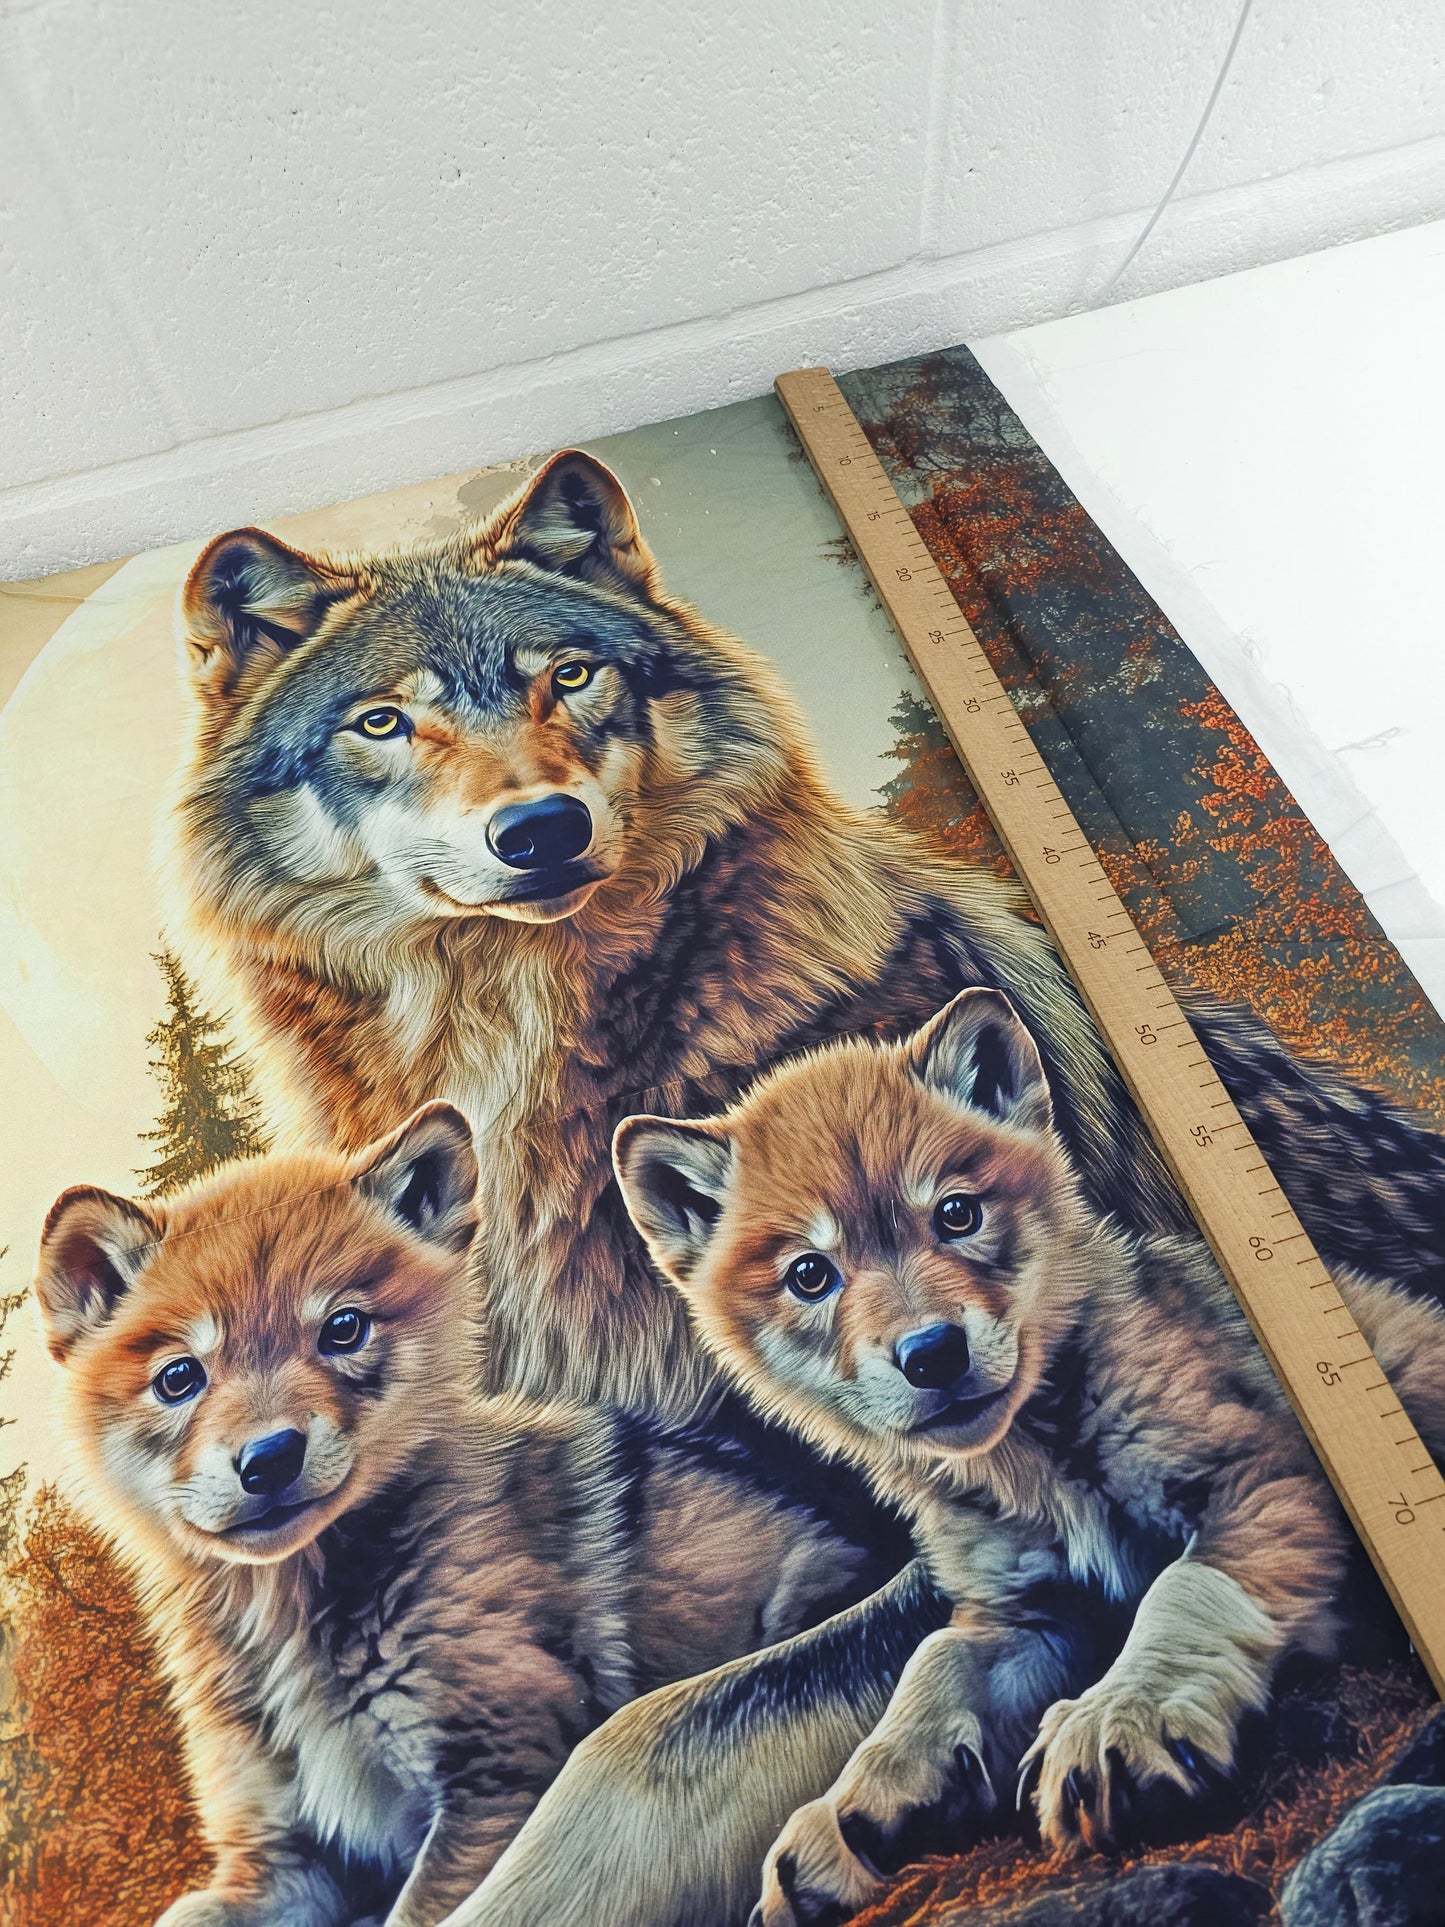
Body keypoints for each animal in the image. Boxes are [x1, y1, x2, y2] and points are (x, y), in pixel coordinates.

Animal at [32, 1106, 894, 1927]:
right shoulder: (280, 1859)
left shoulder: (494, 1779)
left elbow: (427, 1910)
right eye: (179, 1377)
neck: (293, 1621)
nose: (269, 1456)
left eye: (342, 1328)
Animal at [612, 988, 1445, 1927]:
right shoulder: (1023, 1612)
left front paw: (1123, 1714)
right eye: (809, 1274)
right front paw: (846, 1810)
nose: (932, 1353)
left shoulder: (1258, 1478)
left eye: (956, 1214)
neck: (1037, 1464)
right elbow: (930, 1668)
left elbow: (1182, 1591)